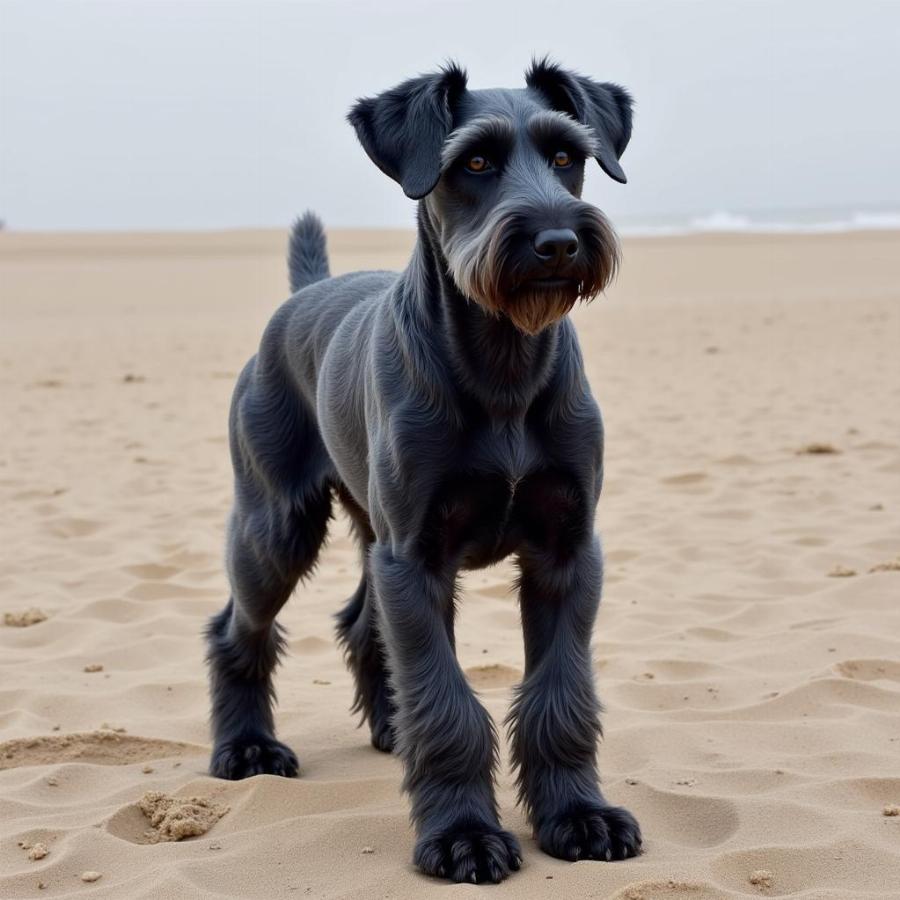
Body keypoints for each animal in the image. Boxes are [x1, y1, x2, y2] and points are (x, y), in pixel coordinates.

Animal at [206, 59, 640, 884]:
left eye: (567, 155)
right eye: (473, 163)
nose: (559, 242)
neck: (503, 364)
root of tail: (303, 295)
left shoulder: (566, 552)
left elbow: (559, 694)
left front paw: (579, 816)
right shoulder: (416, 559)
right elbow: (447, 702)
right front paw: (463, 834)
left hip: (369, 537)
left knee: (361, 623)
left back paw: (388, 727)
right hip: (273, 527)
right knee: (238, 628)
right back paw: (245, 748)